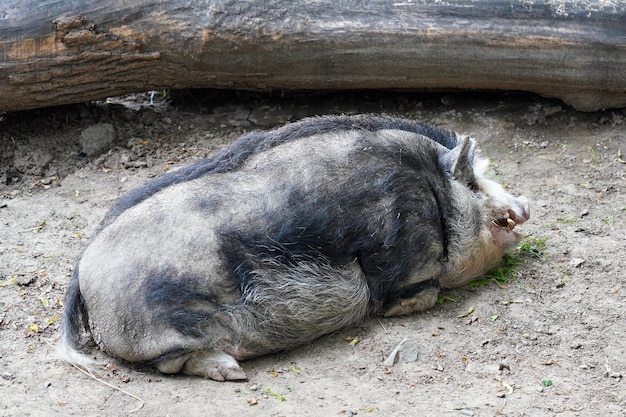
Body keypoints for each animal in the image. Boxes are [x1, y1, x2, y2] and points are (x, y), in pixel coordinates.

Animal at [57, 114, 528, 380]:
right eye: (472, 182)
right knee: (170, 362)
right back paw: (232, 373)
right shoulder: (397, 253)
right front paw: (399, 308)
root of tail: (80, 275)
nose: (524, 205)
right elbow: (416, 294)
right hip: (161, 329)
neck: (431, 192)